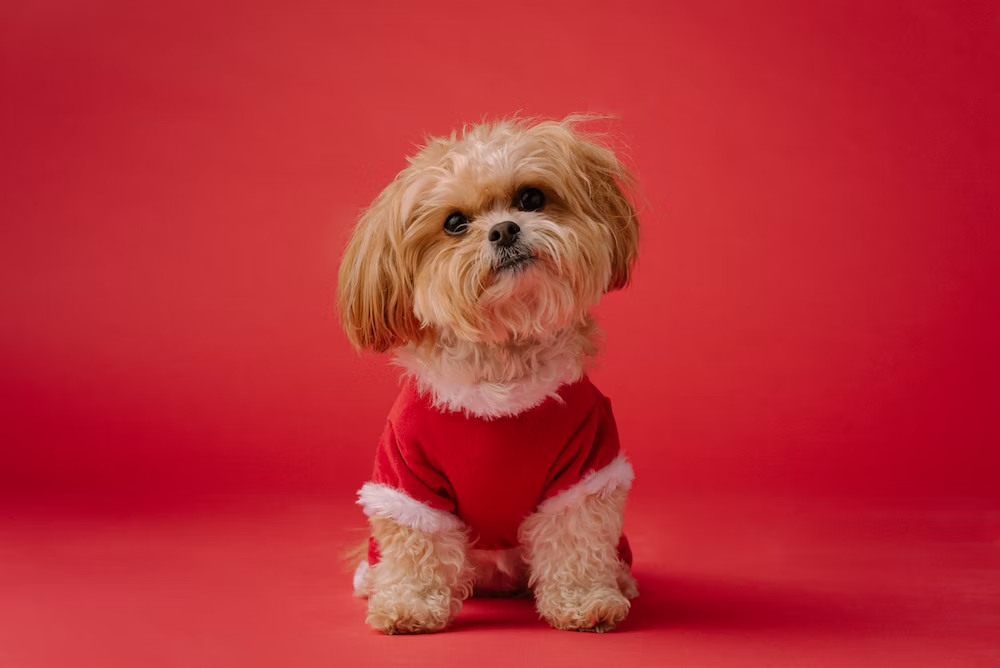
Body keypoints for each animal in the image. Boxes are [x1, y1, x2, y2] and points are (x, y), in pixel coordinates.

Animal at [338, 116, 640, 636]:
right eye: (455, 223)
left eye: (531, 198)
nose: (503, 229)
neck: (503, 372)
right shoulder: (406, 478)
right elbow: (417, 547)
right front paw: (410, 605)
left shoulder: (586, 467)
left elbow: (576, 538)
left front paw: (585, 600)